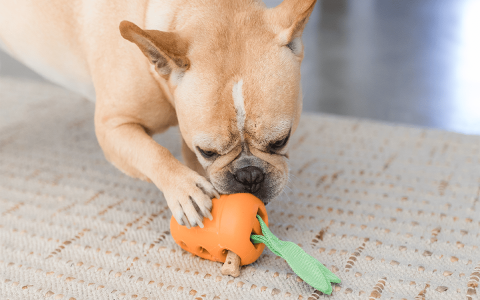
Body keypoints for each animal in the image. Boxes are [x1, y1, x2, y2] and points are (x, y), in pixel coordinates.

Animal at [0, 0, 318, 227]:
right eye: (208, 151)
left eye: (281, 141)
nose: (249, 175)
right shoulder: (113, 127)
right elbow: (152, 152)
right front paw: (185, 190)